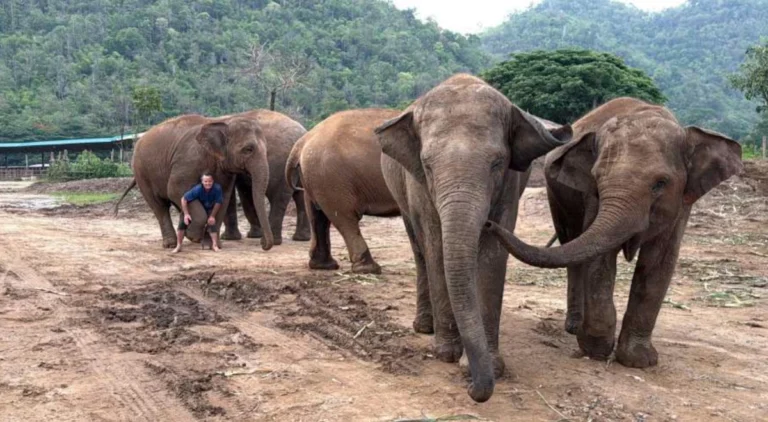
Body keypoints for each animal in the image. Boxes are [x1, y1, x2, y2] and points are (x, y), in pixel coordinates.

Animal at [120, 114, 274, 250]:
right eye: (248, 149)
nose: (262, 244)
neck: (224, 122)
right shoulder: (189, 160)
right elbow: (175, 189)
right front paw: (194, 236)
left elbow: (222, 199)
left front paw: (212, 245)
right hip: (141, 172)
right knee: (160, 206)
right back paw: (171, 244)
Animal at [218, 109, 311, 245]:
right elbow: (245, 191)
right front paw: (252, 235)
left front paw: (228, 238)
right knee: (300, 195)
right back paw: (301, 238)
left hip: (282, 165)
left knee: (278, 197)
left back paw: (275, 241)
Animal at [285, 109, 401, 274]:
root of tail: (305, 139)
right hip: (332, 178)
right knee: (345, 217)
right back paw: (368, 269)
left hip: (315, 176)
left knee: (317, 215)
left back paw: (324, 266)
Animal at [375, 74, 572, 402]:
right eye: (427, 166)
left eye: (497, 163)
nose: (470, 388)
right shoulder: (417, 185)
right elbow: (436, 245)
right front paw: (447, 354)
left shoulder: (509, 187)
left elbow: (492, 255)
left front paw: (487, 365)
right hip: (399, 192)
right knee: (419, 250)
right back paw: (424, 327)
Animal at [485, 97, 743, 369]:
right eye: (597, 178)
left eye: (660, 184)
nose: (489, 224)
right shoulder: (591, 196)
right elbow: (600, 260)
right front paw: (596, 350)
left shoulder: (682, 204)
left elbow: (659, 262)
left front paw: (639, 360)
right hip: (557, 197)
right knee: (572, 244)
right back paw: (574, 327)